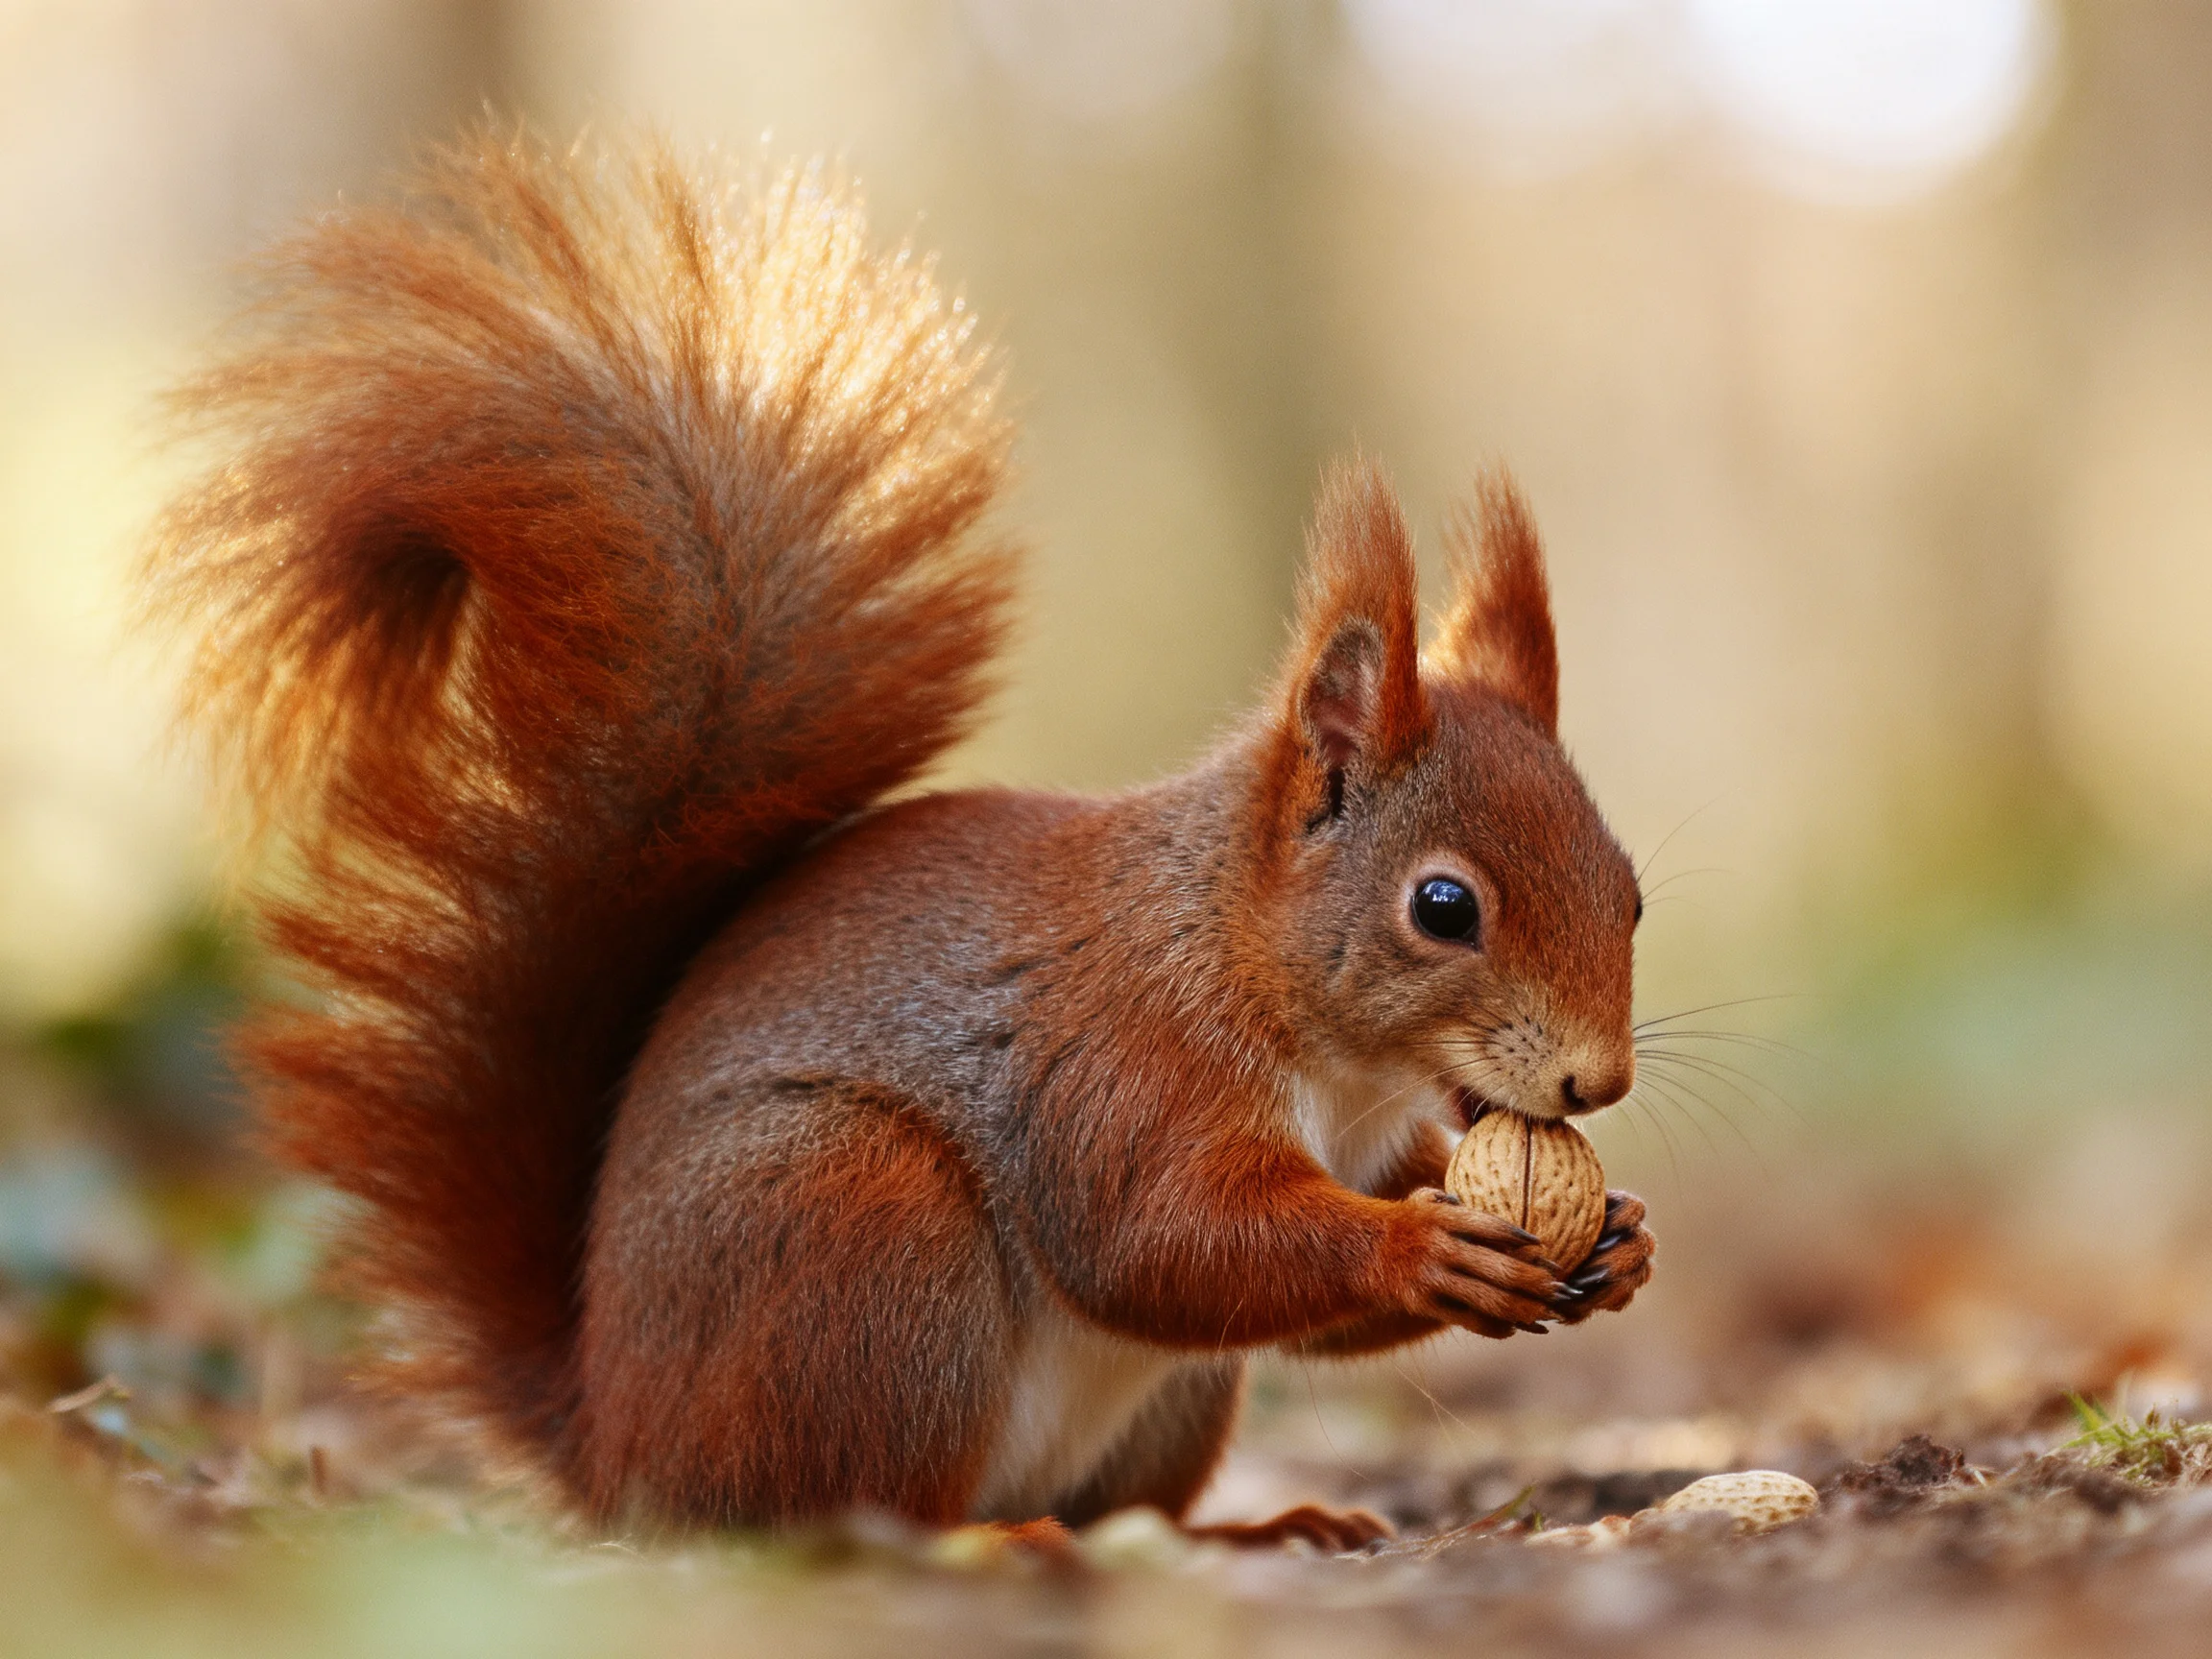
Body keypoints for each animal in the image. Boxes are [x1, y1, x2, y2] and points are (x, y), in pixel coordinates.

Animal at [144, 130, 1655, 1550]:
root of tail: (620, 1447)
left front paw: (1619, 1244)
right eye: (1444, 907)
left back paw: (1259, 1524)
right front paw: (1420, 1252)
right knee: (843, 1512)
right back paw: (1001, 1541)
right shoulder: (1122, 1067)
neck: (1289, 1008)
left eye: (1631, 893)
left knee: (1133, 1514)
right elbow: (1160, 1242)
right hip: (863, 1234)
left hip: (1150, 1395)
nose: (1599, 1084)